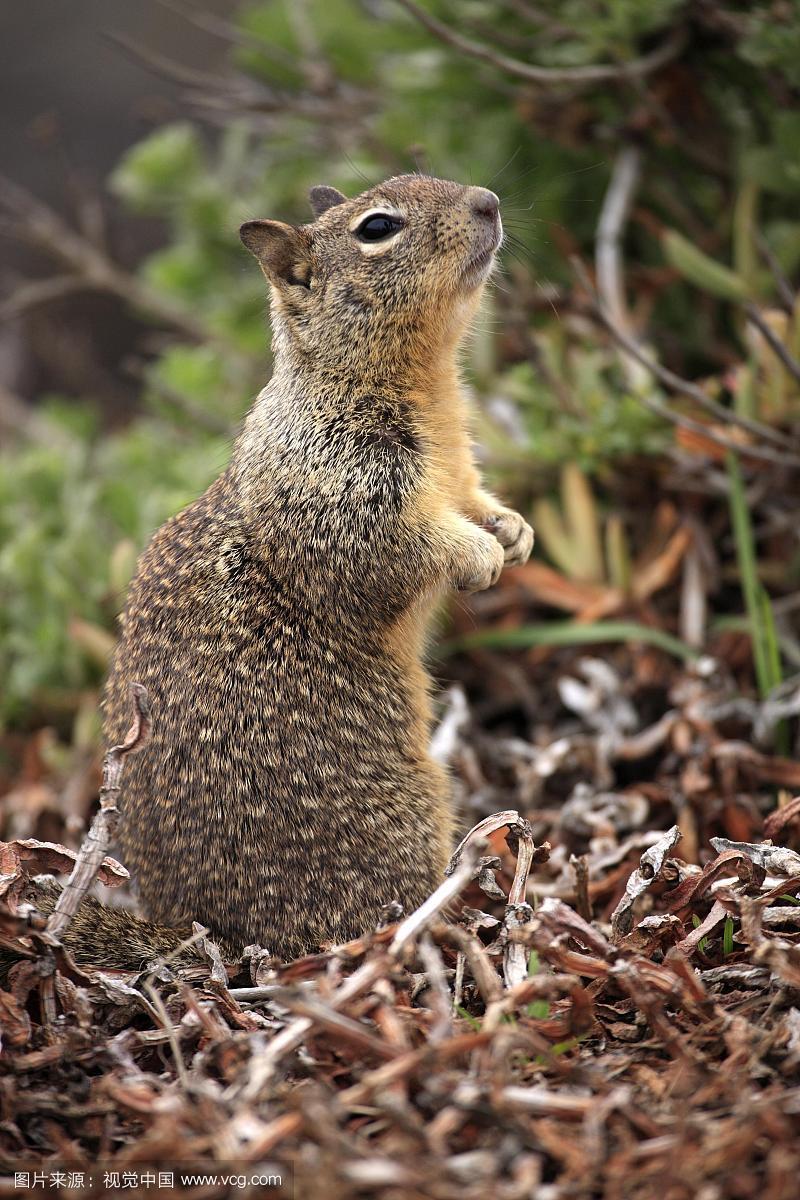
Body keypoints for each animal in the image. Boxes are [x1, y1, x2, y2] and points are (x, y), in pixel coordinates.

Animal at [61, 175, 532, 964]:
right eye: (377, 228)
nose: (490, 200)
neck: (424, 386)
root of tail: (195, 928)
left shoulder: (459, 476)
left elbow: (476, 504)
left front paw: (513, 532)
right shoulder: (342, 492)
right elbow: (403, 545)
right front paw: (478, 555)